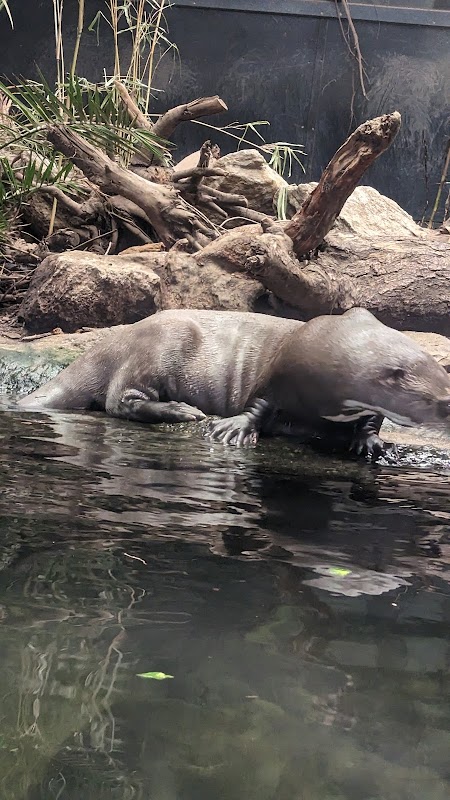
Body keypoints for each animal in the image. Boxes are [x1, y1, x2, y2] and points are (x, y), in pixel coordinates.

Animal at [18, 308, 450, 459]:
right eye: (445, 404)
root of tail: (114, 340)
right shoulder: (277, 374)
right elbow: (258, 404)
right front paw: (233, 430)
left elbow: (373, 419)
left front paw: (371, 442)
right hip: (160, 346)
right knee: (119, 401)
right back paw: (185, 411)